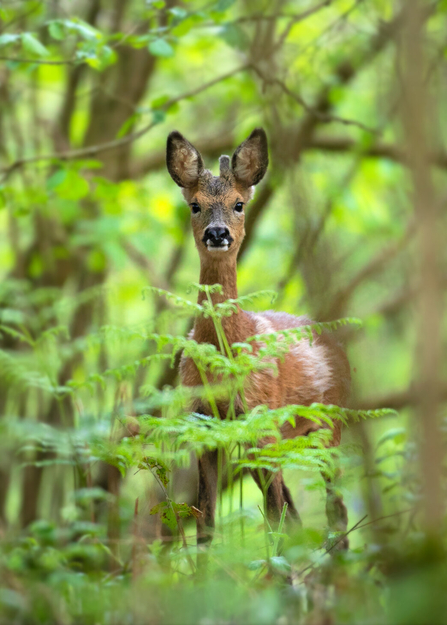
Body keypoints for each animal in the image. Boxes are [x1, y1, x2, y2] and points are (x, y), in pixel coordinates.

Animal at [166, 129, 352, 548]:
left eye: (238, 204)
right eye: (194, 205)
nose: (217, 234)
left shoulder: (261, 416)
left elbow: (272, 517)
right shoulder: (205, 424)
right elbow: (206, 523)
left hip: (328, 424)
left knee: (333, 511)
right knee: (296, 512)